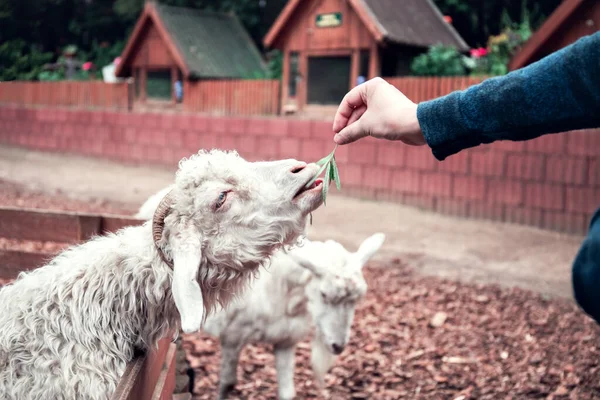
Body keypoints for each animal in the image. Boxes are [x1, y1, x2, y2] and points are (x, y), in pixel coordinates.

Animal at [136, 188, 384, 400]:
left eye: (358, 300)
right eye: (323, 294)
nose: (338, 346)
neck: (282, 292)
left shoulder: (286, 341)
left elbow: (288, 392)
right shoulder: (232, 337)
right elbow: (228, 383)